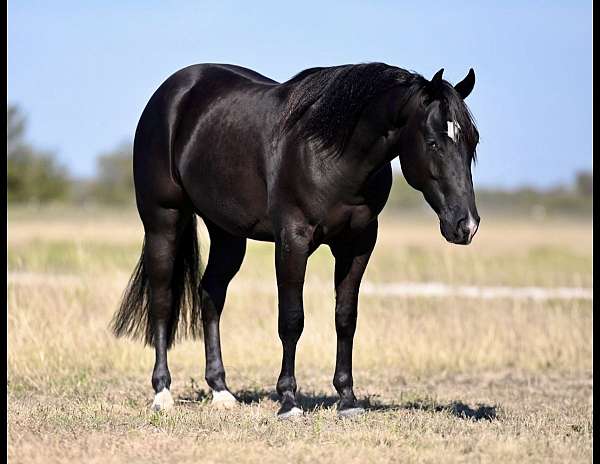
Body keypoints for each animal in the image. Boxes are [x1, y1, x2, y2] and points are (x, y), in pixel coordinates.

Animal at [110, 60, 480, 416]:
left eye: (473, 141)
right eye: (433, 142)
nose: (467, 225)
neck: (330, 154)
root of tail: (173, 90)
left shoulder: (358, 243)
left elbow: (345, 318)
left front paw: (347, 399)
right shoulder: (293, 240)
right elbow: (291, 319)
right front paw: (288, 400)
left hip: (227, 233)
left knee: (210, 294)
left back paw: (221, 391)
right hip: (163, 221)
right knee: (162, 300)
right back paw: (162, 394)